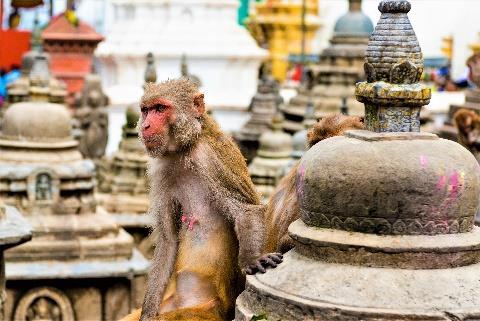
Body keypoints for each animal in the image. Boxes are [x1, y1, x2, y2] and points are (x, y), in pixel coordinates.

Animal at [120, 78, 284, 320]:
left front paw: (252, 260)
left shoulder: (213, 158)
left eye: (160, 108)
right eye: (146, 110)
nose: (145, 126)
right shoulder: (162, 171)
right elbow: (169, 239)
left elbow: (246, 210)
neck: (184, 149)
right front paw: (147, 313)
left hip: (207, 311)